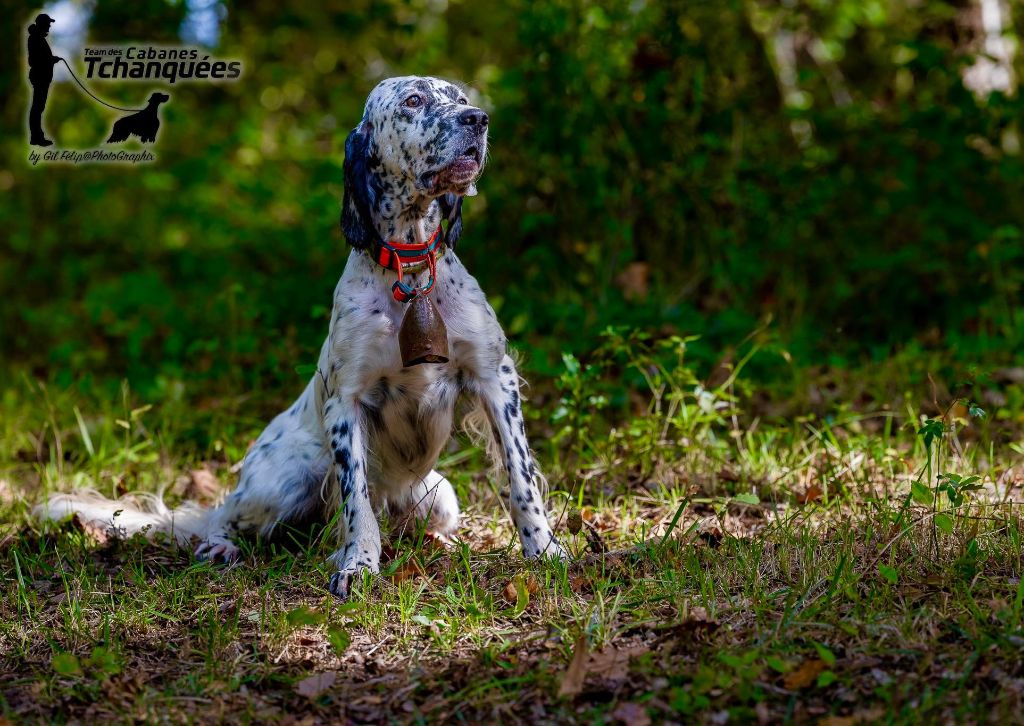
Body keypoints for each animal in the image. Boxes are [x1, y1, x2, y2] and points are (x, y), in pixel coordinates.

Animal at [37, 75, 569, 593]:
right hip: (286, 477)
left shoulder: (494, 378)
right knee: (228, 515)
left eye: (460, 97)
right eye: (414, 101)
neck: (411, 268)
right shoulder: (346, 401)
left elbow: (521, 478)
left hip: (439, 493)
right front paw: (358, 566)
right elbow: (357, 503)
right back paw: (220, 546)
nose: (477, 119)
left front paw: (545, 550)